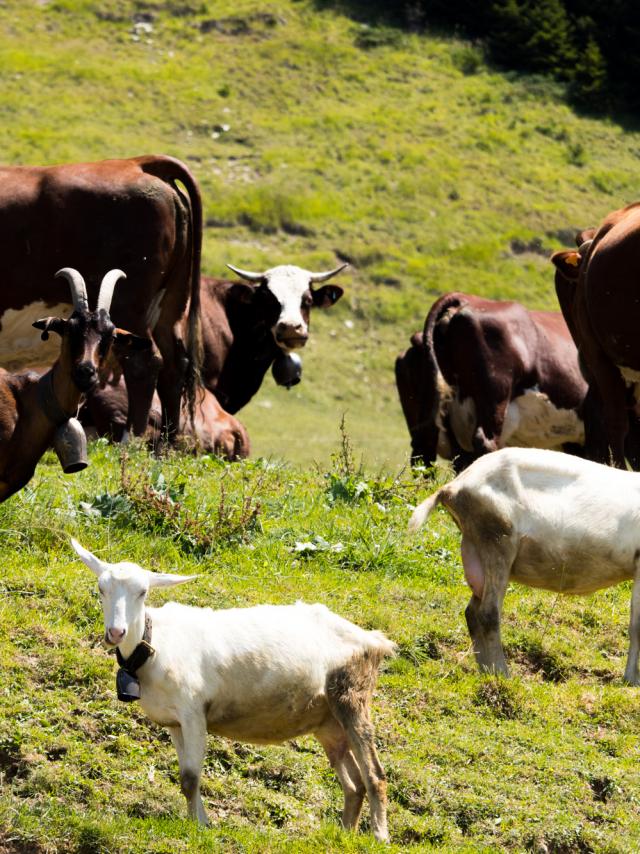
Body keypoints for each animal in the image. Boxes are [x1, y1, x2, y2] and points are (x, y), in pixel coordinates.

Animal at [0, 155, 202, 444]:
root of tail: (136, 162)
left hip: (129, 307)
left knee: (144, 362)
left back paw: (130, 440)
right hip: (170, 305)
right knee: (174, 366)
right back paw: (168, 443)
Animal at [71, 540, 396, 844]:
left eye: (143, 592)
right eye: (101, 588)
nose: (116, 633)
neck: (156, 644)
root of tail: (374, 640)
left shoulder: (194, 712)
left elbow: (191, 777)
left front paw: (198, 827)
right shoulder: (175, 722)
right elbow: (186, 776)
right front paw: (200, 821)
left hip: (351, 695)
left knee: (374, 775)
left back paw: (380, 835)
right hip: (327, 721)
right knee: (353, 784)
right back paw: (345, 833)